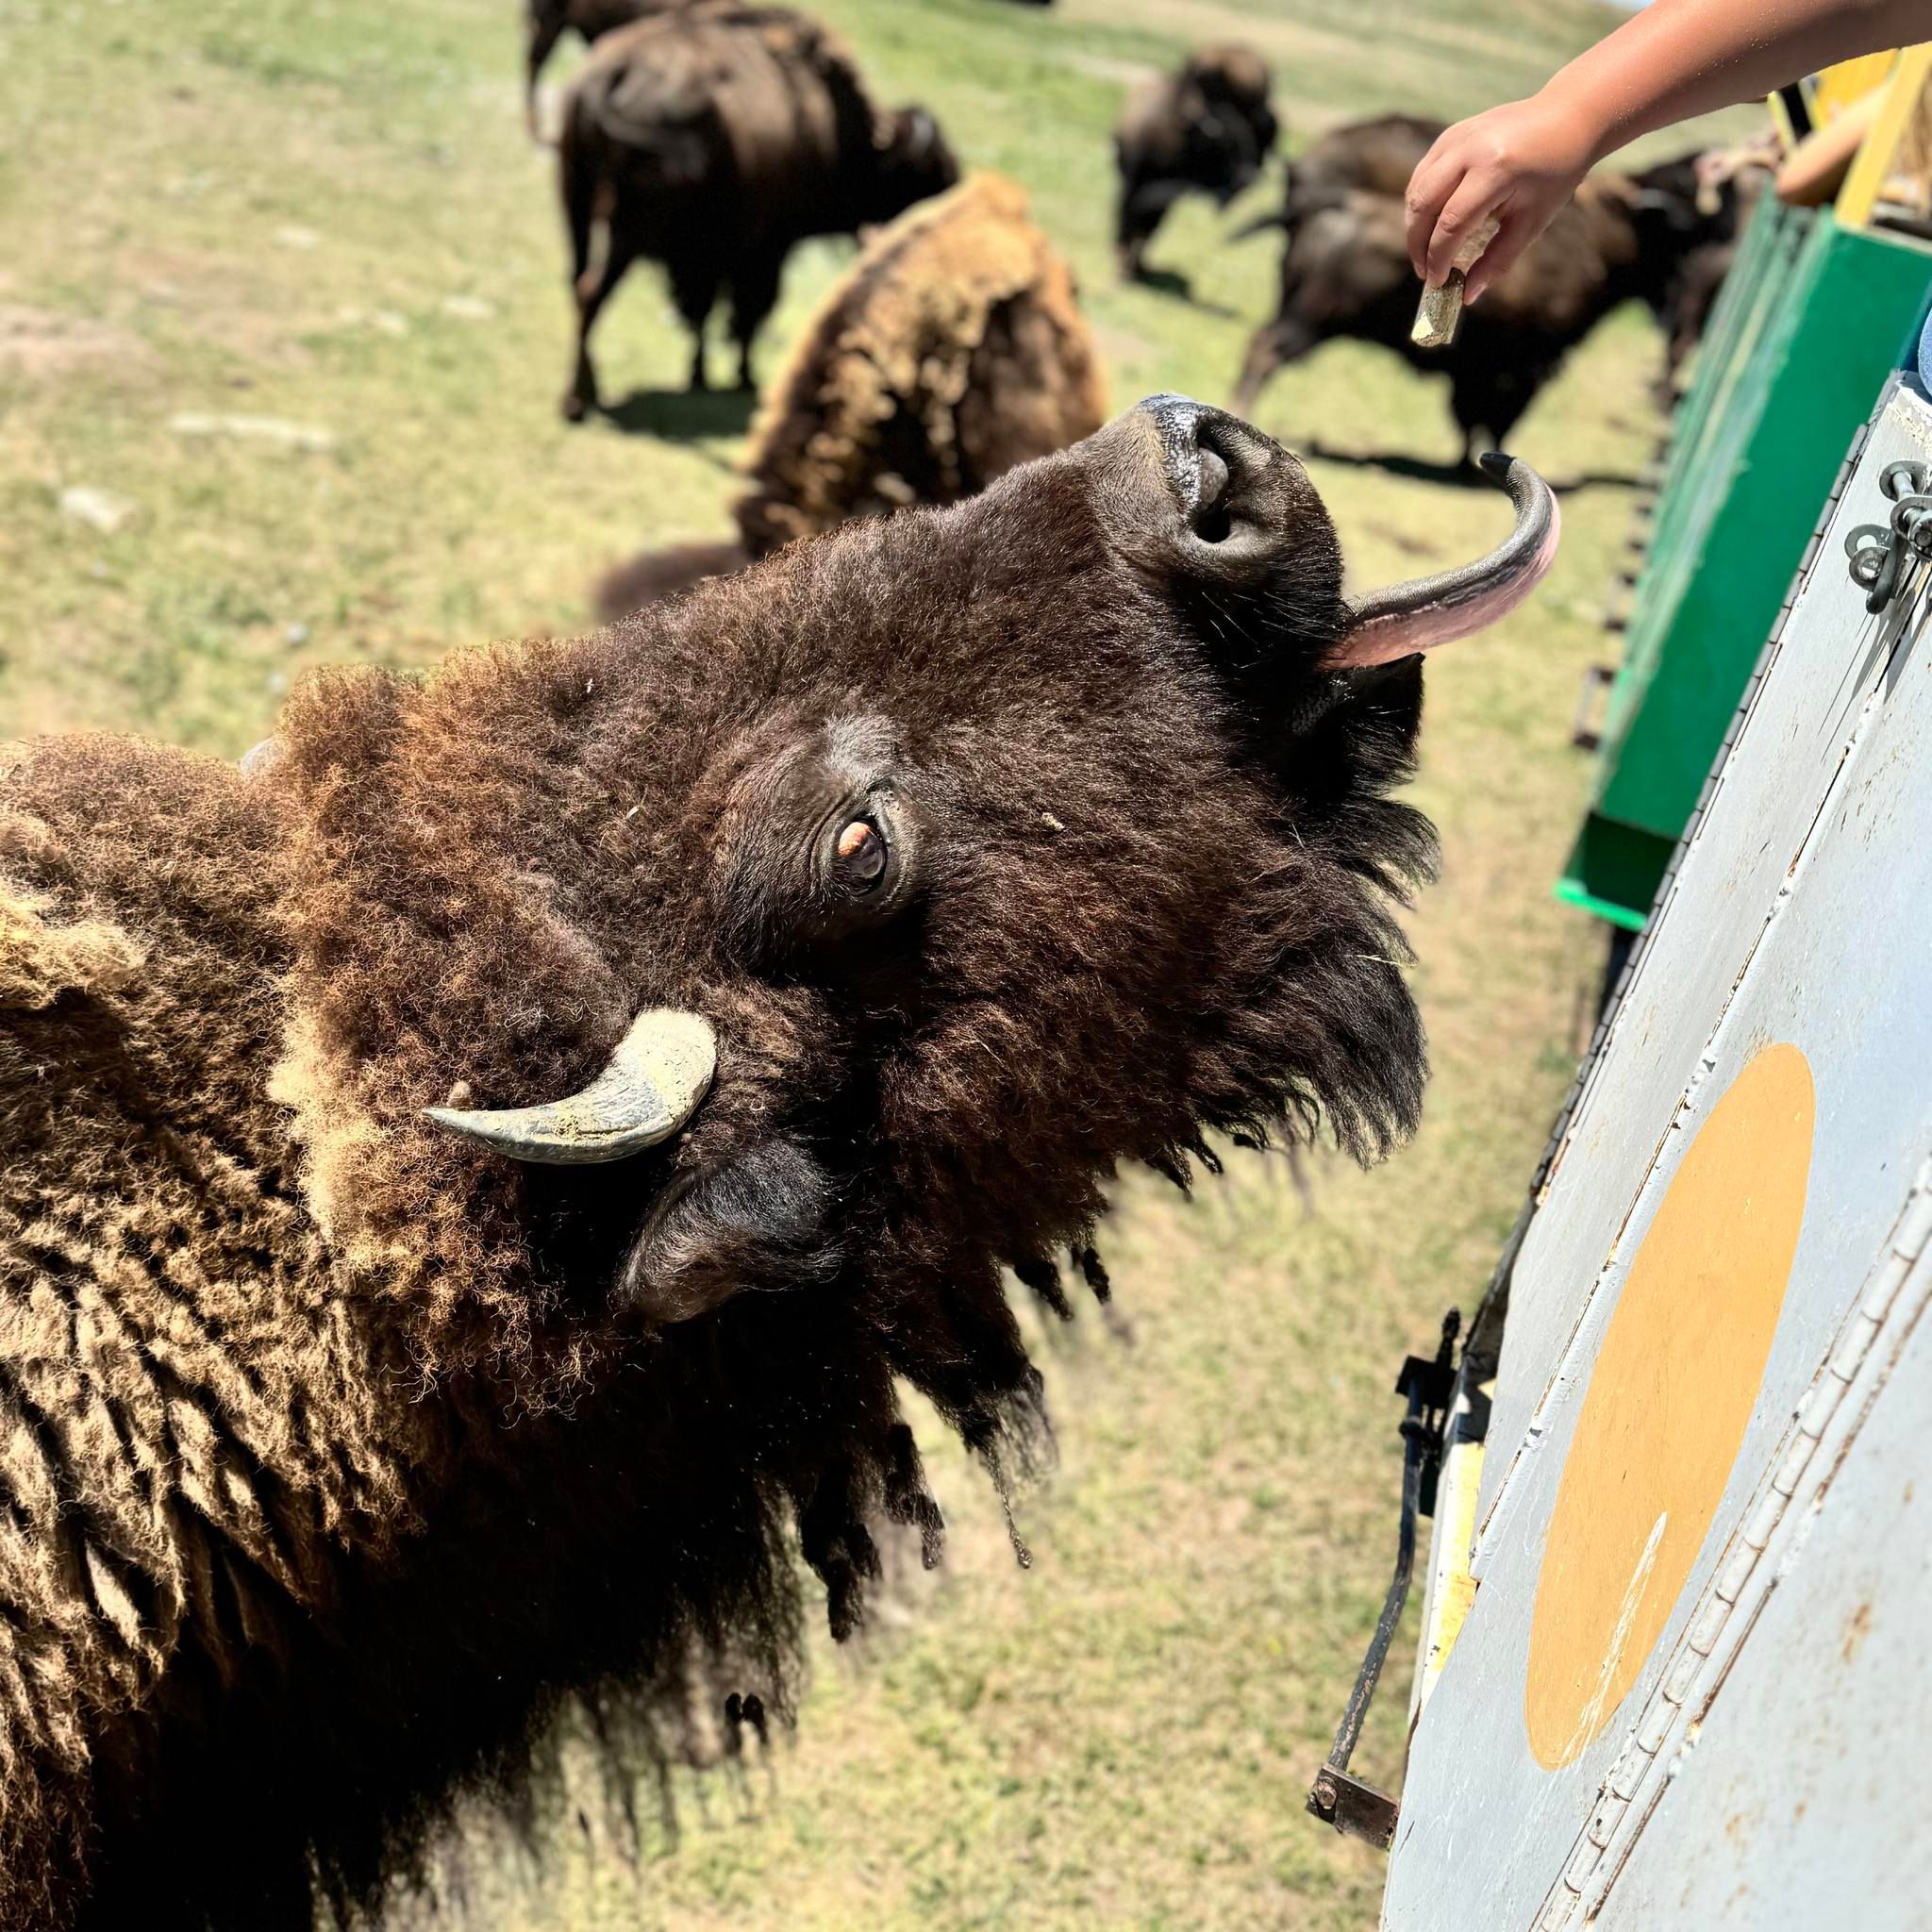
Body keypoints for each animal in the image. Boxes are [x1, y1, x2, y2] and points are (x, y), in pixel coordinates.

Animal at [556, 4, 954, 415]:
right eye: (926, 172)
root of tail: (609, 77)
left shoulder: (711, 255)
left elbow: (706, 312)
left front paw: (700, 376)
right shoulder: (764, 250)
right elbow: (747, 310)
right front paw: (742, 377)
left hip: (574, 203)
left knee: (578, 283)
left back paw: (587, 389)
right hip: (627, 230)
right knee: (591, 292)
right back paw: (577, 400)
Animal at [1112, 42, 1274, 282]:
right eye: (1227, 138)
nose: (1248, 177)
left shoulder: (1165, 197)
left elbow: (1149, 228)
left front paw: (1134, 267)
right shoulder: (1133, 183)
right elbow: (1128, 220)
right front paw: (1123, 269)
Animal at [1228, 114, 1746, 458]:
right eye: (1689, 215)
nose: (1726, 245)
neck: (1607, 233)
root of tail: (1335, 200)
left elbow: (1468, 413)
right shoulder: (1527, 364)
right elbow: (1498, 416)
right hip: (1310, 320)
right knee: (1266, 351)